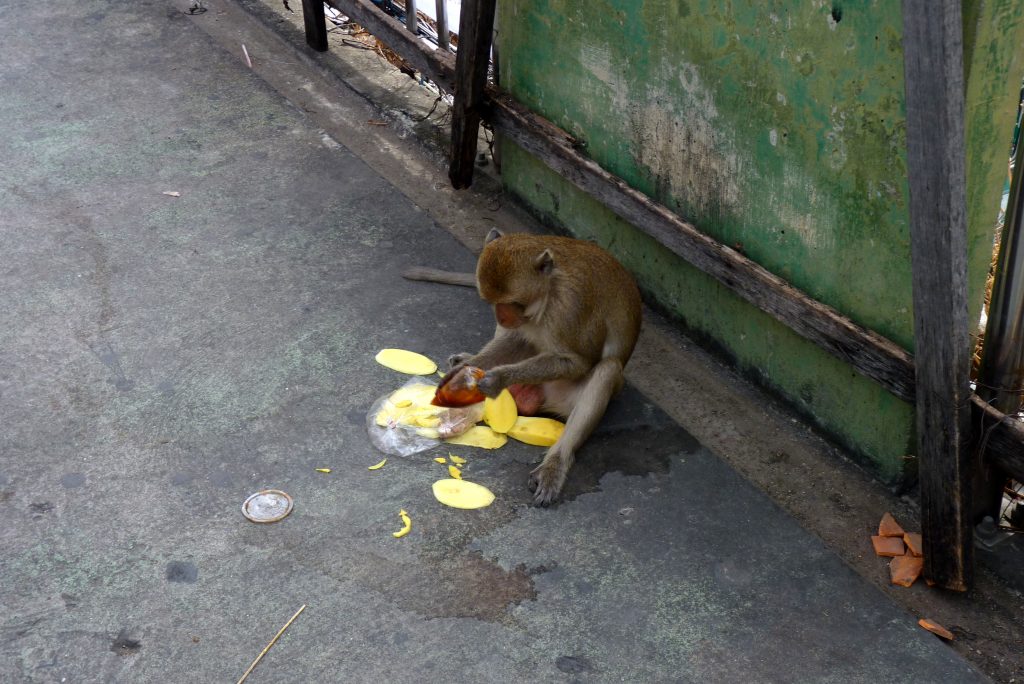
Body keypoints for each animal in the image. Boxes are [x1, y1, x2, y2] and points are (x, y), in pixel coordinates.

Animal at [401, 229, 634, 501]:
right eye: (492, 301)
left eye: (513, 302)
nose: (501, 317)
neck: (549, 292)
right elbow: (516, 339)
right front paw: (464, 370)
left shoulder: (572, 307)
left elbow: (580, 361)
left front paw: (497, 378)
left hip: (564, 397)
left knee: (608, 368)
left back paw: (556, 461)